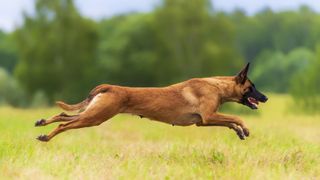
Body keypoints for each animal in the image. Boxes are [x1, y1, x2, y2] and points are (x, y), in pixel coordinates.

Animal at [35, 63, 268, 142]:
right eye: (252, 87)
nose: (265, 97)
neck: (217, 86)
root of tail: (108, 87)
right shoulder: (209, 116)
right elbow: (236, 117)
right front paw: (245, 128)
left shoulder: (204, 120)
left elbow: (230, 122)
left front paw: (240, 132)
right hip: (95, 117)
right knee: (65, 124)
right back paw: (46, 136)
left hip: (92, 113)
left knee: (63, 115)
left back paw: (41, 124)